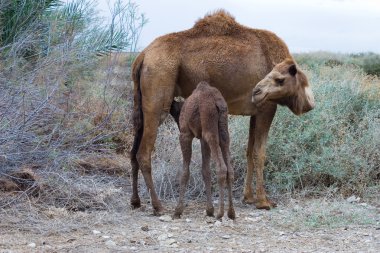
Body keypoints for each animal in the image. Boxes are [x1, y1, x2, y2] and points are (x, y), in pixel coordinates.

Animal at [173, 81, 235, 219]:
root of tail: (218, 103)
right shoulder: (202, 138)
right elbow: (206, 171)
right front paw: (209, 209)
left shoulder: (185, 134)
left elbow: (185, 172)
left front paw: (178, 210)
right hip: (223, 130)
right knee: (230, 169)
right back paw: (231, 212)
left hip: (209, 130)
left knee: (221, 167)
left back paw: (220, 212)